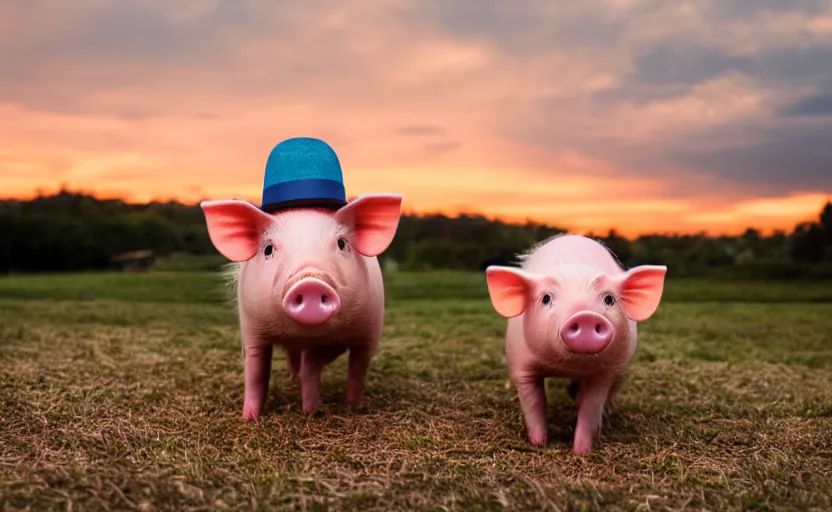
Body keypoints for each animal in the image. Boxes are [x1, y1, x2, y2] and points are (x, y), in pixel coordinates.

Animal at [202, 136, 404, 420]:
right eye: (268, 249)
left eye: (341, 244)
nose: (310, 282)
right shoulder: (251, 329)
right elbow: (256, 372)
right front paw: (250, 419)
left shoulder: (365, 330)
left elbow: (330, 365)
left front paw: (313, 411)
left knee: (354, 367)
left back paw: (347, 403)